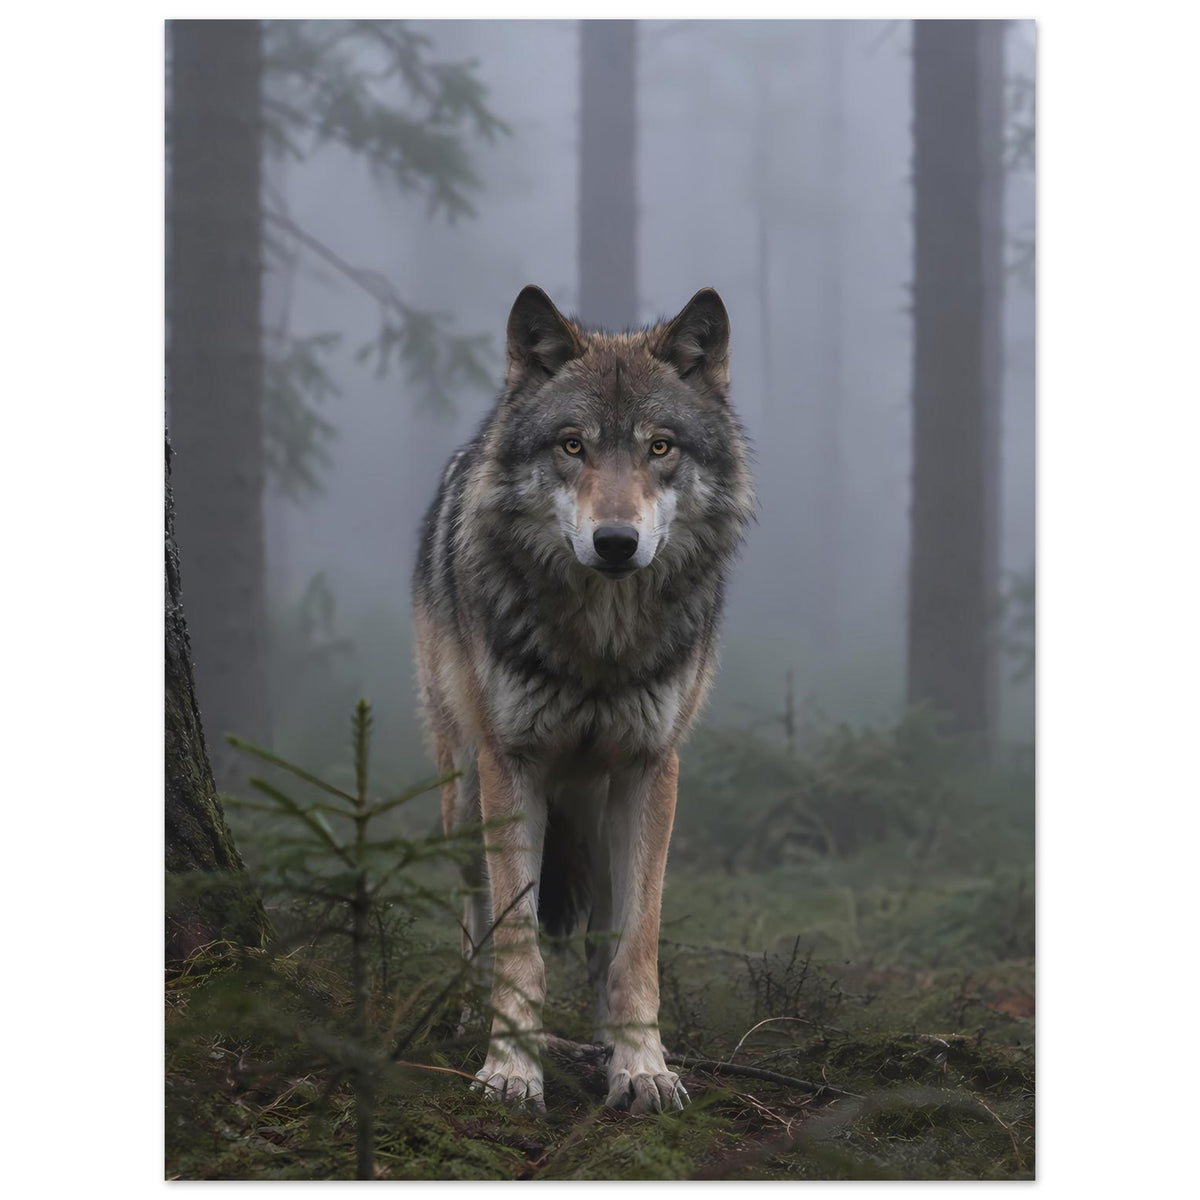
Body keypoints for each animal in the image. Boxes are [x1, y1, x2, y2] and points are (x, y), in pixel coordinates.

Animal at [413, 284, 754, 1113]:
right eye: (572, 446)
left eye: (660, 447)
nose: (616, 543)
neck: (601, 644)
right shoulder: (512, 765)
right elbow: (518, 944)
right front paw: (509, 1069)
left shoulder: (650, 769)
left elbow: (637, 947)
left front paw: (643, 1066)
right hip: (463, 795)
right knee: (474, 915)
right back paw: (464, 1017)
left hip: (597, 815)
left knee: (602, 935)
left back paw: (605, 1043)